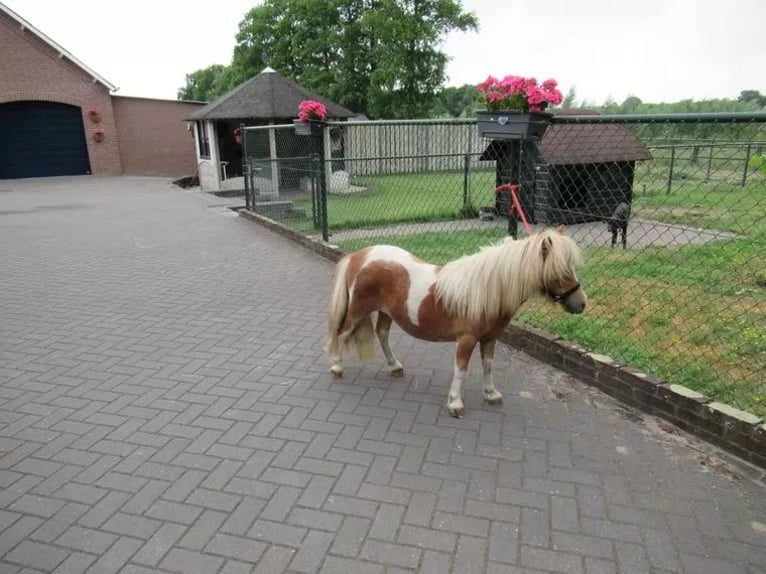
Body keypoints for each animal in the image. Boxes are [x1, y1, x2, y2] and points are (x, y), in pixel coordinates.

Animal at [325, 226, 587, 418]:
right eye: (560, 269)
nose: (581, 304)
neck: (486, 290)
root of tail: (359, 256)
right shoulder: (467, 340)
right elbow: (461, 369)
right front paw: (455, 403)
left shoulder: (490, 339)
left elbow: (488, 366)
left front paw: (491, 394)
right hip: (358, 311)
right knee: (341, 332)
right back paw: (336, 367)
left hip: (386, 313)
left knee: (382, 334)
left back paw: (395, 366)